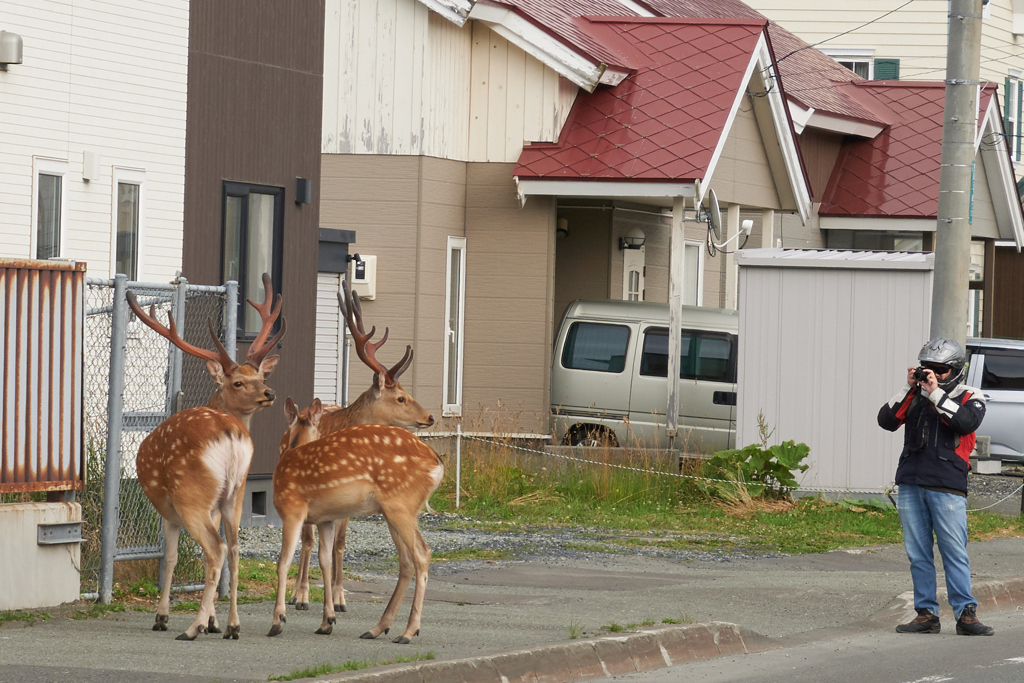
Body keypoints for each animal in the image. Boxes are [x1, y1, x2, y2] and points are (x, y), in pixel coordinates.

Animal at [130, 272, 288, 643]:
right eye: (240, 381)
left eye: (261, 376)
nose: (269, 392)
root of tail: (229, 432)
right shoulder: (214, 506)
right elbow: (203, 560)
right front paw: (216, 620)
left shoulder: (169, 511)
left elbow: (172, 557)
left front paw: (163, 616)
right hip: (235, 492)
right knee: (233, 549)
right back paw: (232, 626)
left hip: (191, 492)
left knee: (217, 549)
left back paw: (192, 628)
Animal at [270, 397, 442, 643]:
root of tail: (438, 464)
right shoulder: (325, 519)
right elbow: (325, 560)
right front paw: (327, 621)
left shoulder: (292, 509)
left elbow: (283, 562)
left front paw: (278, 621)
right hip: (397, 509)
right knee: (407, 560)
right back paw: (377, 628)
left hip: (400, 504)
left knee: (422, 554)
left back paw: (408, 632)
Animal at [286, 278, 434, 614]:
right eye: (401, 398)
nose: (430, 417)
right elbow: (312, 541)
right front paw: (305, 596)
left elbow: (340, 545)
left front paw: (339, 598)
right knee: (306, 539)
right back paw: (299, 594)